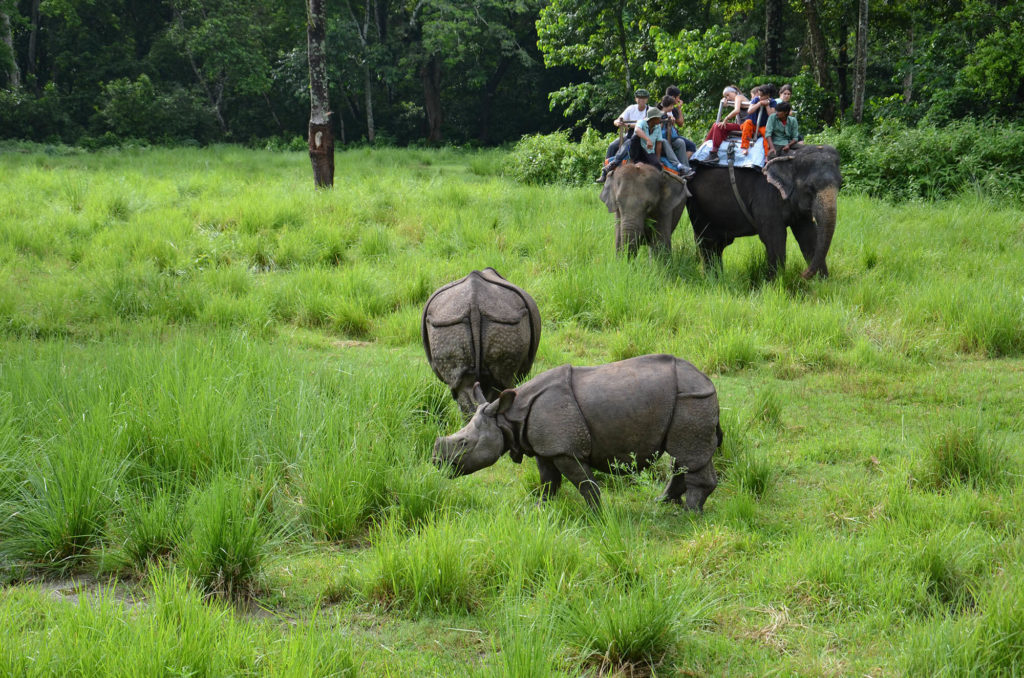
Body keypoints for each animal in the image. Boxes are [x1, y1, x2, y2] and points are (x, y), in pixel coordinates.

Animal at [688, 144, 839, 280]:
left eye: (840, 184)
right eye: (810, 188)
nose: (801, 275)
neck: (791, 156)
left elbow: (809, 236)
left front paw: (823, 283)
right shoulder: (765, 195)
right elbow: (775, 237)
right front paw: (777, 283)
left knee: (718, 245)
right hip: (698, 206)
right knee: (708, 243)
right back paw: (712, 279)